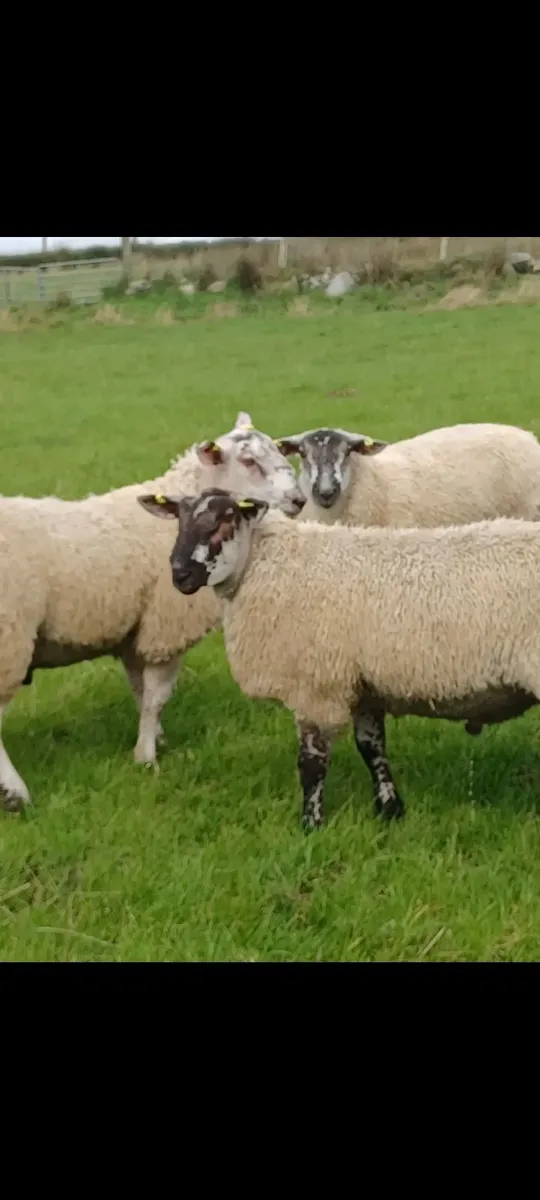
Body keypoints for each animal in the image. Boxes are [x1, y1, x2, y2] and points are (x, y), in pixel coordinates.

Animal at [0, 413, 305, 812]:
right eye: (249, 461)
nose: (299, 499)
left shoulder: (138, 631)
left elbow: (140, 691)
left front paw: (155, 738)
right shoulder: (166, 626)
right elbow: (156, 697)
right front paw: (146, 757)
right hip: (10, 637)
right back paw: (16, 793)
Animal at [141, 485, 540, 831]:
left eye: (225, 520)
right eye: (178, 519)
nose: (180, 574)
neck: (261, 564)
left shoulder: (315, 685)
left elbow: (312, 763)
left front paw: (310, 825)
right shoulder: (361, 684)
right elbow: (372, 748)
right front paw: (390, 810)